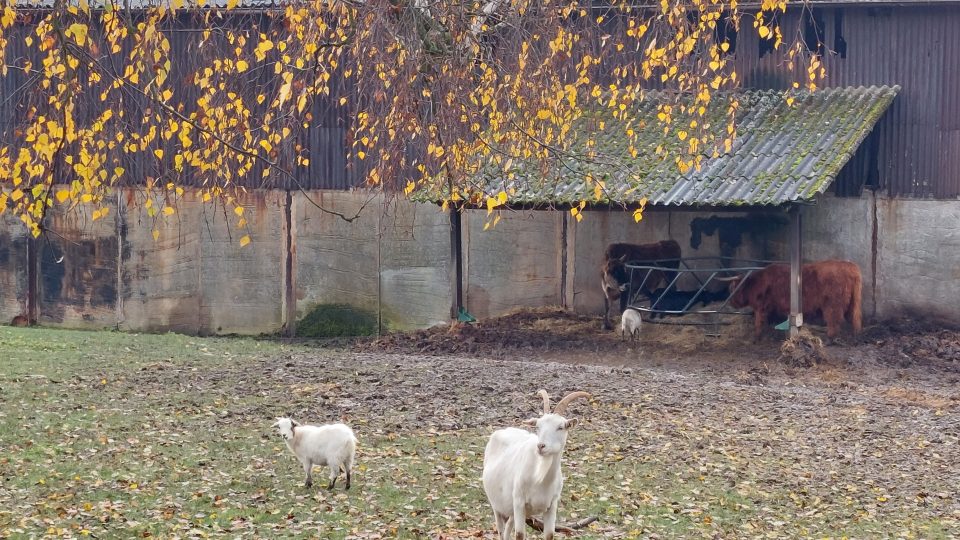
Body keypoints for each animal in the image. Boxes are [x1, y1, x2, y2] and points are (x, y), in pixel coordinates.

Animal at [484, 390, 588, 540]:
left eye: (560, 427)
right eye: (538, 426)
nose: (541, 446)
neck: (540, 479)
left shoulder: (552, 505)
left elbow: (549, 534)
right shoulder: (519, 502)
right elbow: (520, 535)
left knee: (508, 527)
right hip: (497, 504)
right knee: (500, 528)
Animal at [728, 260, 864, 340]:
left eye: (733, 289)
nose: (730, 302)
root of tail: (850, 265)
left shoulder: (761, 306)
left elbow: (758, 321)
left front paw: (757, 335)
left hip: (832, 304)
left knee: (834, 320)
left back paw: (829, 337)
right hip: (853, 302)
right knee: (854, 317)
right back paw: (855, 335)